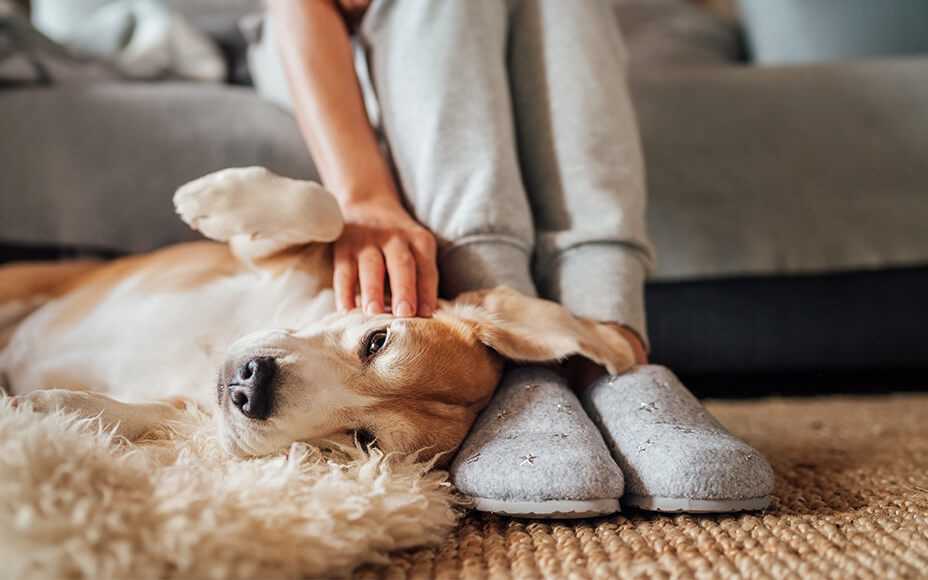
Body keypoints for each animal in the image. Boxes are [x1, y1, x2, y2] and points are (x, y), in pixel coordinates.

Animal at [0, 169, 636, 466]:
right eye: (377, 340)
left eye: (364, 439)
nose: (251, 387)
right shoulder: (266, 258)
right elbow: (325, 211)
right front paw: (213, 199)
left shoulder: (185, 409)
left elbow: (139, 414)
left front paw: (46, 411)